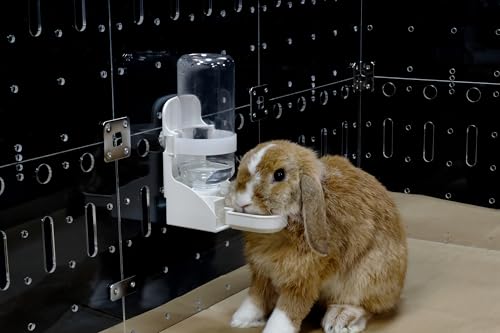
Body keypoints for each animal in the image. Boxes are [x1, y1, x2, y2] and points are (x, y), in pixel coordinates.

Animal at [227, 139, 406, 332]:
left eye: (280, 174)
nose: (242, 202)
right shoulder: (262, 273)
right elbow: (255, 297)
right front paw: (240, 320)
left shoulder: (303, 279)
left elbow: (288, 310)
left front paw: (273, 329)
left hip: (367, 277)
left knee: (364, 306)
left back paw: (339, 320)